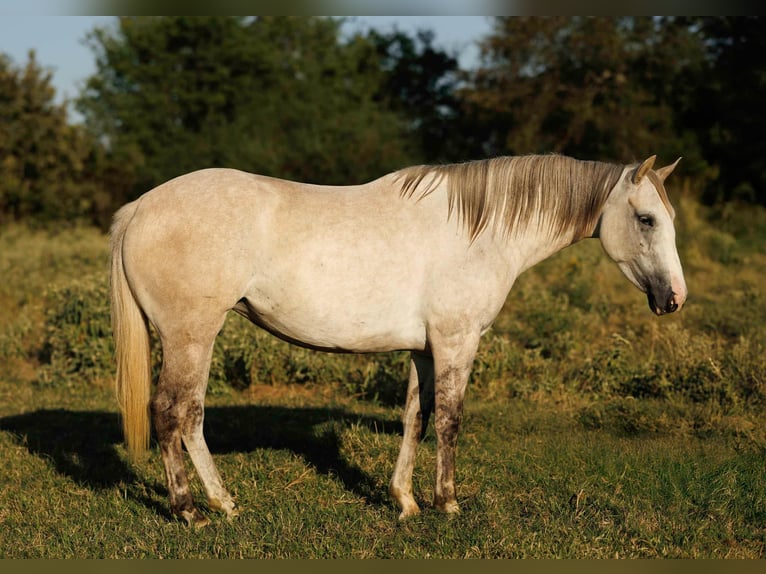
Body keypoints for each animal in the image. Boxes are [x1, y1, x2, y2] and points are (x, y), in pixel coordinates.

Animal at [110, 153, 687, 526]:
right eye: (646, 219)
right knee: (175, 413)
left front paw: (405, 501)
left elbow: (417, 417)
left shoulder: (423, 350)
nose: (675, 298)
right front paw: (447, 503)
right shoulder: (456, 342)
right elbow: (450, 420)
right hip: (191, 337)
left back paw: (218, 503)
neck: (478, 231)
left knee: (186, 418)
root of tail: (140, 208)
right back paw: (194, 510)